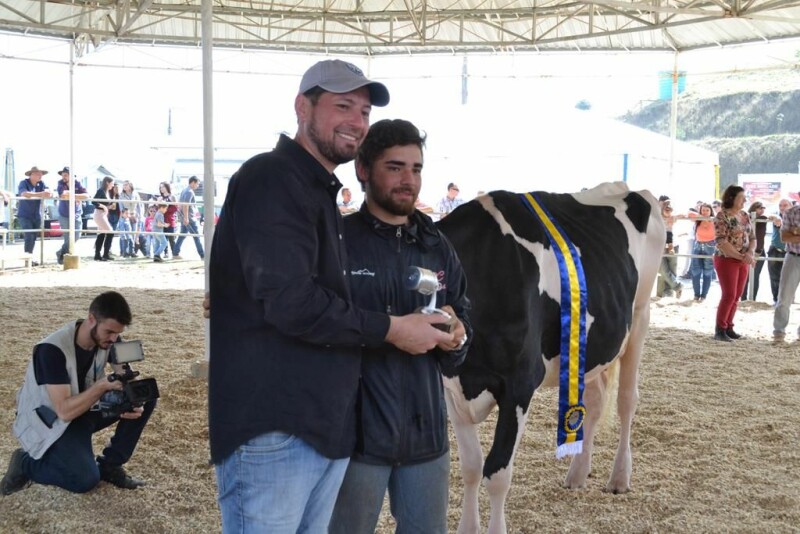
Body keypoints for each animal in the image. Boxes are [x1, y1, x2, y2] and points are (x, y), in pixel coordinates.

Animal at [438, 182, 664, 532]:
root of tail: (624, 187)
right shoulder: (453, 387)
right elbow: (471, 467)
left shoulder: (519, 384)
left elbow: (497, 474)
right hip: (592, 346)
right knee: (596, 402)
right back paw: (578, 473)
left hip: (640, 317)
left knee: (627, 400)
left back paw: (619, 477)